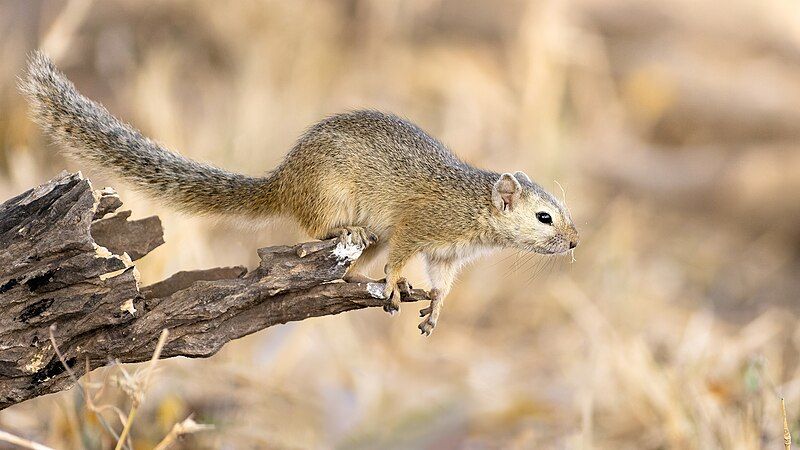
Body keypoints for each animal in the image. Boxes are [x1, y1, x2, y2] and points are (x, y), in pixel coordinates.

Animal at [21, 51, 580, 336]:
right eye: (545, 218)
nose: (575, 241)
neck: (472, 207)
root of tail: (284, 180)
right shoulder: (418, 226)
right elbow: (401, 259)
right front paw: (395, 285)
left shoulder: (445, 255)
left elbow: (441, 284)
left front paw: (436, 308)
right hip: (333, 199)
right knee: (317, 228)